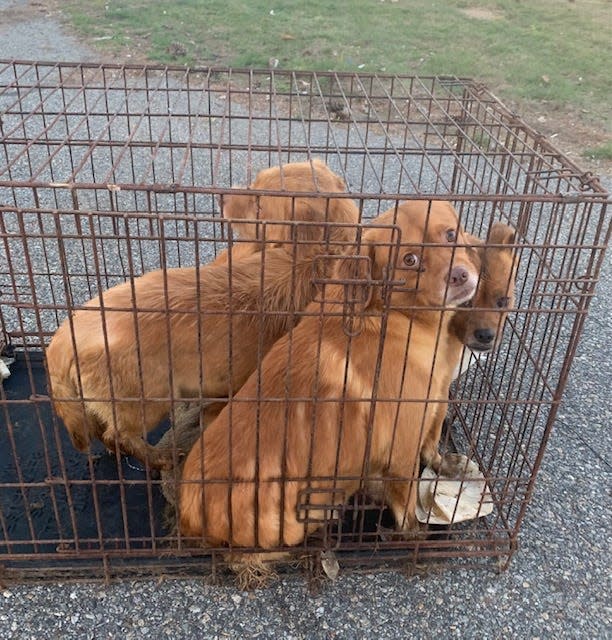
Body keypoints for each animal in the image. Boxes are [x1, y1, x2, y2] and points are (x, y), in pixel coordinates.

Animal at [47, 162, 360, 468]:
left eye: (259, 205)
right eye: (255, 183)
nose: (222, 197)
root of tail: (63, 341)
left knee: (105, 429)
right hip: (149, 398)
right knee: (119, 434)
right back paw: (159, 458)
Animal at [179, 199, 480, 544]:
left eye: (451, 234)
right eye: (410, 259)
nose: (460, 275)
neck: (394, 315)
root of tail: (188, 515)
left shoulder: (431, 408)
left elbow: (432, 447)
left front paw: (443, 465)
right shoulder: (401, 450)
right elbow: (406, 505)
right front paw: (415, 536)